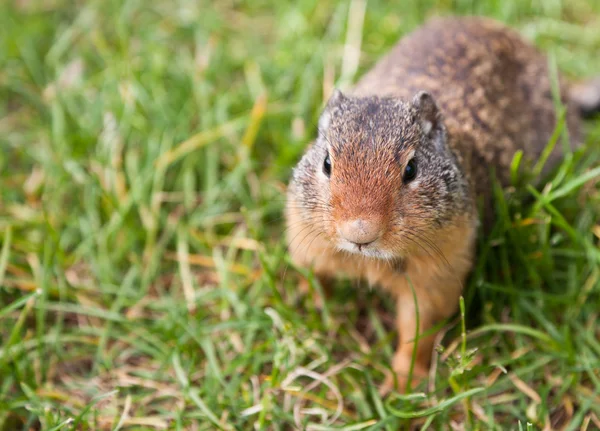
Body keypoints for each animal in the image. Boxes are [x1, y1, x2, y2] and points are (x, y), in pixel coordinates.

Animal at [284, 16, 596, 392]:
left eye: (412, 169)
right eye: (327, 163)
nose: (360, 233)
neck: (369, 261)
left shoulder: (437, 277)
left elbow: (418, 333)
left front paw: (401, 385)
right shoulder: (305, 236)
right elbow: (314, 278)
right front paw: (311, 315)